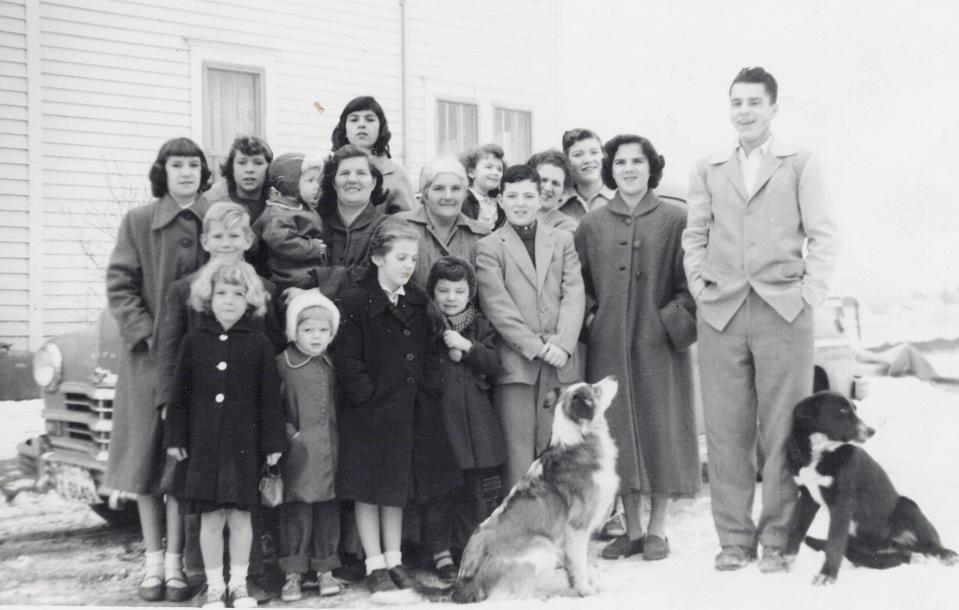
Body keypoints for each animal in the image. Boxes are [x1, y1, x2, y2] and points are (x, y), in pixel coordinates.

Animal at [372, 372, 620, 600]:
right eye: (595, 389)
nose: (613, 377)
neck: (577, 442)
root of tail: (463, 582)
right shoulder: (577, 527)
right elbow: (579, 565)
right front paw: (585, 590)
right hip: (543, 547)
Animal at [788, 392, 952, 580]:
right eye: (843, 410)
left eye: (854, 409)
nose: (871, 431)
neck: (821, 453)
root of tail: (890, 544)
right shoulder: (807, 498)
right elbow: (797, 531)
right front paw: (784, 562)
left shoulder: (843, 502)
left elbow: (834, 543)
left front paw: (826, 576)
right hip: (860, 549)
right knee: (888, 558)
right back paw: (912, 556)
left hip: (907, 507)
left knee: (931, 544)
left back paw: (946, 554)